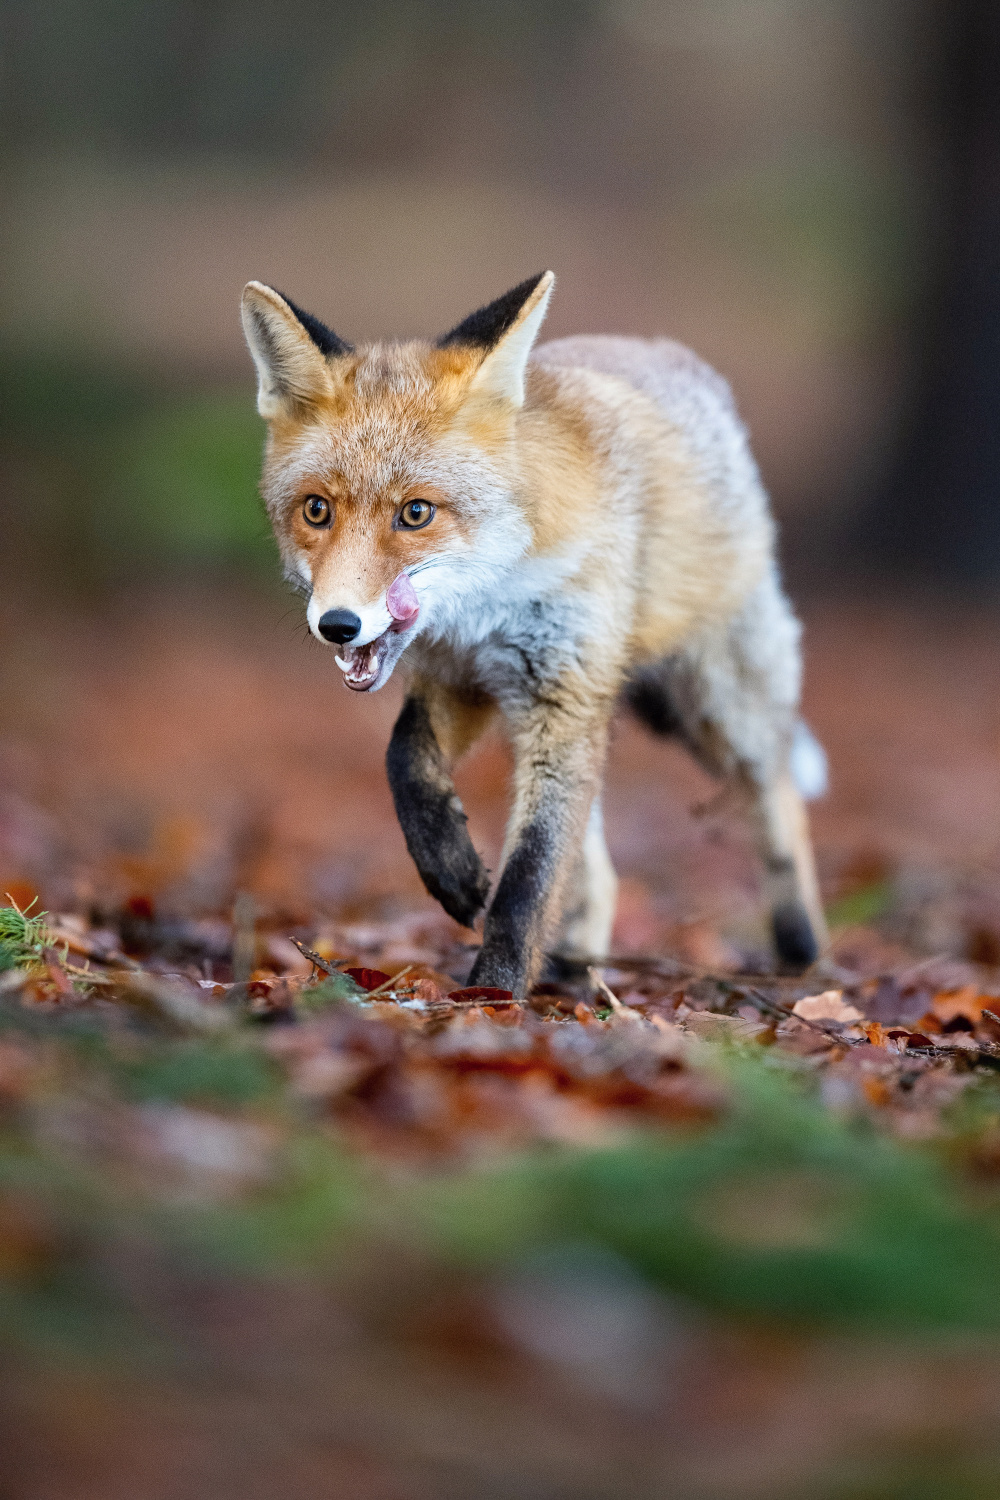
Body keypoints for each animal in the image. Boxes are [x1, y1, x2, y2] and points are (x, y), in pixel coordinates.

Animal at [242, 273, 827, 996]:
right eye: (316, 510)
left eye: (416, 514)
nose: (337, 624)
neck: (487, 608)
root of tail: (666, 354)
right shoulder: (464, 680)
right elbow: (404, 758)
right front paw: (452, 872)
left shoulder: (560, 691)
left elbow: (529, 875)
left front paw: (494, 990)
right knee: (597, 857)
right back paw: (578, 958)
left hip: (716, 703)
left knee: (776, 791)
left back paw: (802, 945)